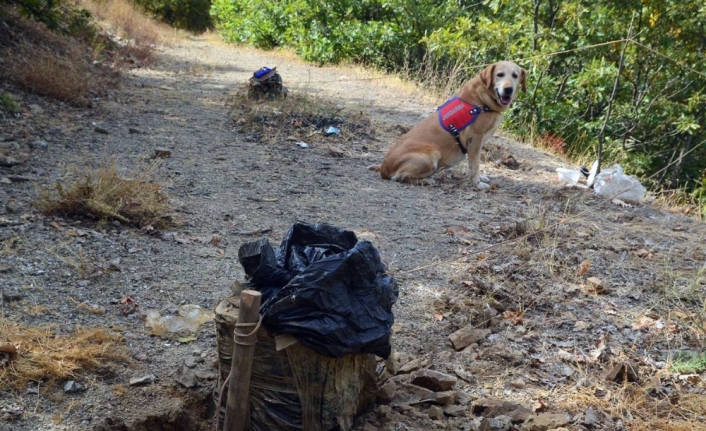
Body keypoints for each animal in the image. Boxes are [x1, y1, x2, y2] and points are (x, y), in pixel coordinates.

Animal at [368, 61, 524, 189]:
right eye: (500, 74)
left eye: (515, 75)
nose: (508, 89)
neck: (482, 99)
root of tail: (384, 168)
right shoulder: (475, 139)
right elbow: (475, 166)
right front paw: (477, 184)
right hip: (432, 154)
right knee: (399, 177)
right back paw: (428, 180)